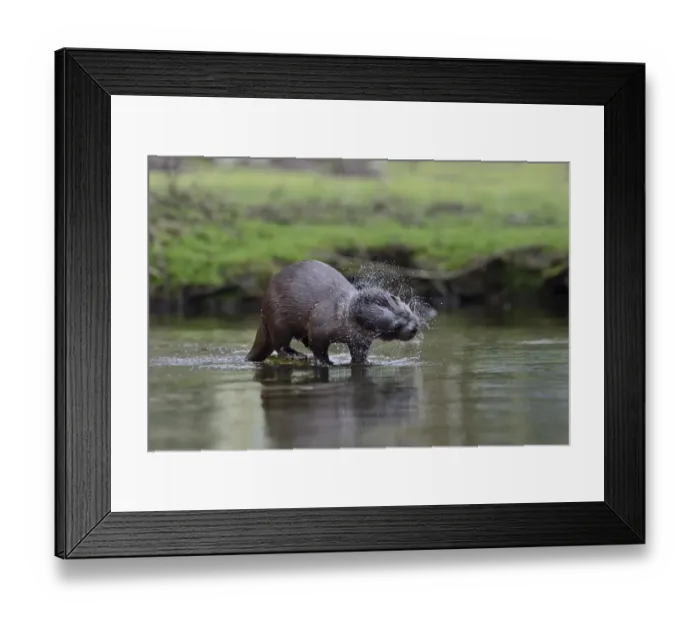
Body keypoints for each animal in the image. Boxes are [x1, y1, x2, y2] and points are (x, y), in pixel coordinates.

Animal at [245, 260, 431, 365]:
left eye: (409, 313)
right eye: (397, 324)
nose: (414, 327)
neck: (343, 315)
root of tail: (263, 311)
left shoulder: (360, 340)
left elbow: (359, 353)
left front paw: (366, 361)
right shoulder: (318, 326)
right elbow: (318, 348)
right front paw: (326, 362)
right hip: (278, 318)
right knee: (280, 344)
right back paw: (296, 355)